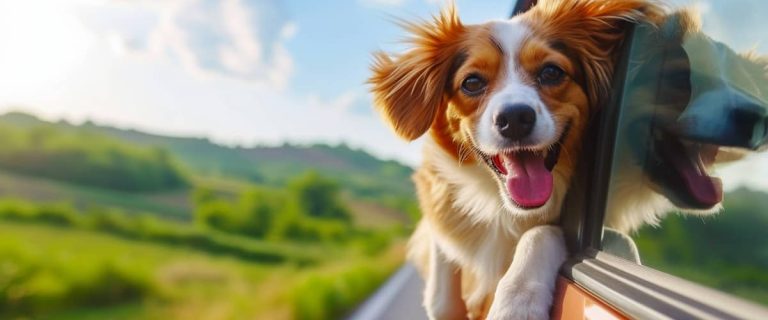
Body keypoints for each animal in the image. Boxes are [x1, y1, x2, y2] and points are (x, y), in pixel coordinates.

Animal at [368, 1, 664, 318]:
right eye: (472, 82)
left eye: (551, 72)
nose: (515, 118)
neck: (505, 210)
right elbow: (441, 285)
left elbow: (542, 233)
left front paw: (515, 303)